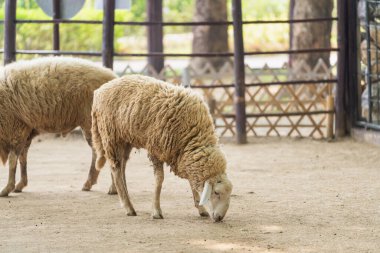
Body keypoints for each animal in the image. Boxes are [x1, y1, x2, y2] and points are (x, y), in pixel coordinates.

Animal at [0, 56, 117, 197]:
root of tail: (113, 77)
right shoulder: (26, 130)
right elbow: (23, 157)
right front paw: (20, 184)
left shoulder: (17, 128)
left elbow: (13, 159)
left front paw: (7, 188)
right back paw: (89, 184)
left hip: (93, 122)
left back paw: (112, 188)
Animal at [92, 73, 233, 221]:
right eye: (216, 192)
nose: (219, 217)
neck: (192, 136)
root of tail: (100, 91)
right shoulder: (156, 149)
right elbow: (159, 180)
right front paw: (156, 211)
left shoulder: (183, 156)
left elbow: (191, 181)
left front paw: (201, 208)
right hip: (111, 135)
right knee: (116, 169)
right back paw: (128, 207)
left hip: (125, 139)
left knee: (122, 166)